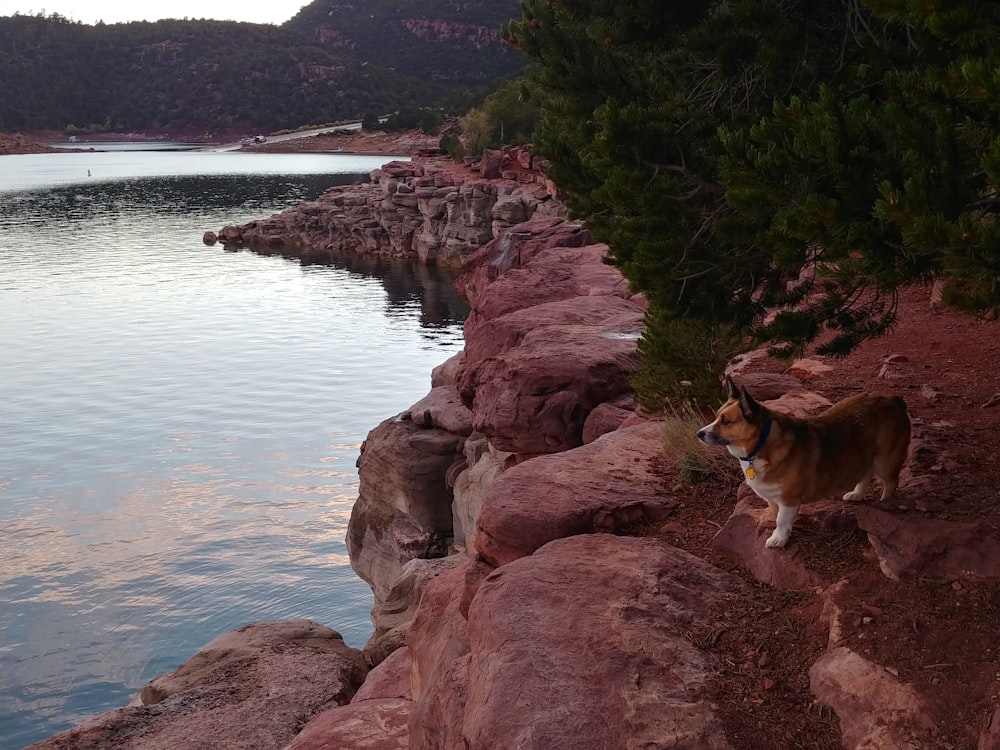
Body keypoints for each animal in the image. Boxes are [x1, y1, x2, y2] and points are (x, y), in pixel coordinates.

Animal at [700, 378, 912, 548]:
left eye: (725, 421)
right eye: (717, 416)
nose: (699, 434)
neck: (761, 443)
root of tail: (895, 400)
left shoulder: (788, 499)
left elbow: (781, 520)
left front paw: (778, 539)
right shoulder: (774, 499)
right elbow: (778, 516)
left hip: (885, 462)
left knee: (890, 483)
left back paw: (884, 504)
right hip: (863, 456)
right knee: (865, 473)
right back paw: (857, 494)